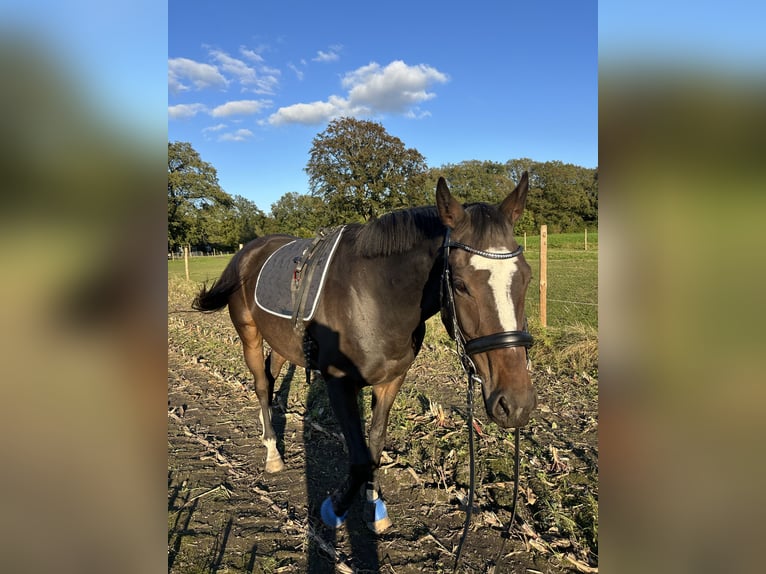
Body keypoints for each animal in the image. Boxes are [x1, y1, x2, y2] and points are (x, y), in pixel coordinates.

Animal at [195, 174, 536, 536]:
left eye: (527, 277)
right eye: (459, 284)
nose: (515, 404)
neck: (375, 297)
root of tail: (248, 251)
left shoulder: (391, 380)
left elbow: (374, 443)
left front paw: (374, 503)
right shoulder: (338, 383)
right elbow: (359, 458)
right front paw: (335, 507)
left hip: (282, 342)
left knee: (272, 379)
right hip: (250, 335)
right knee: (261, 385)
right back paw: (273, 451)